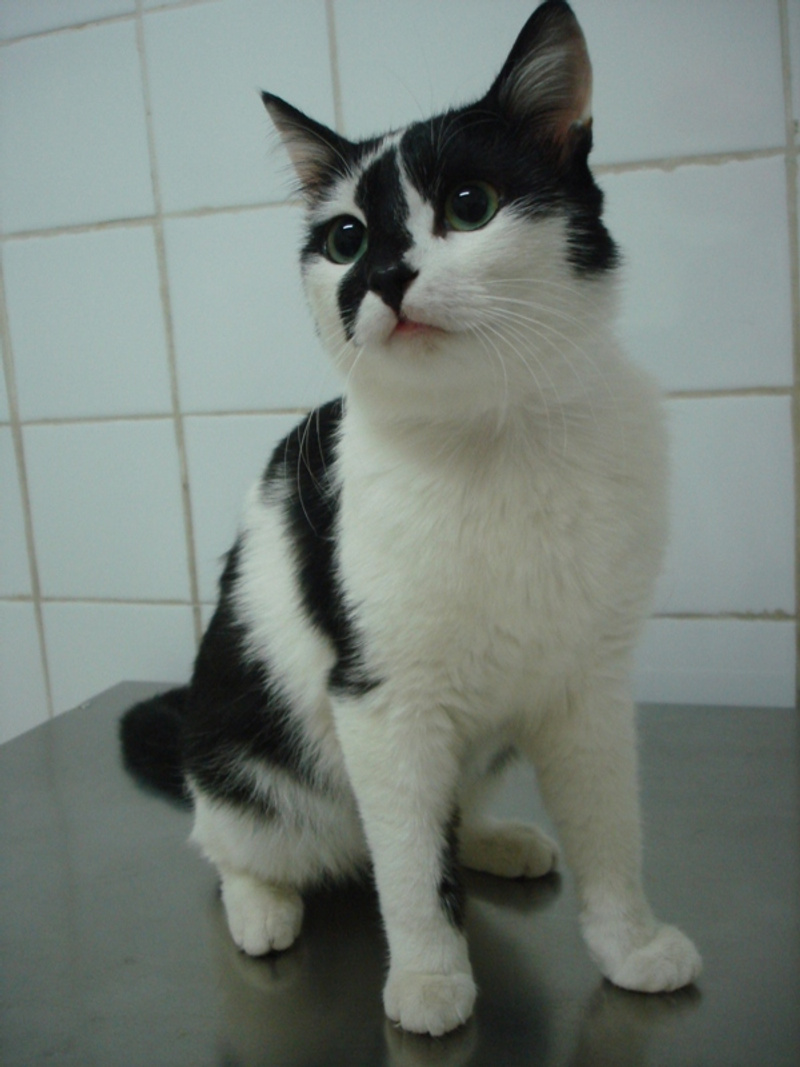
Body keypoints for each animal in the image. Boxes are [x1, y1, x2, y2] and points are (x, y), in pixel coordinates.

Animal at [120, 0, 701, 1036]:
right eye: (346, 239)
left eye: (469, 204)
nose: (382, 276)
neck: (494, 437)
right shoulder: (382, 702)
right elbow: (406, 867)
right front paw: (431, 978)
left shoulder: (592, 685)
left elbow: (610, 832)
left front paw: (630, 944)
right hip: (242, 750)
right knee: (234, 838)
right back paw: (263, 904)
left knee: (447, 818)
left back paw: (499, 839)